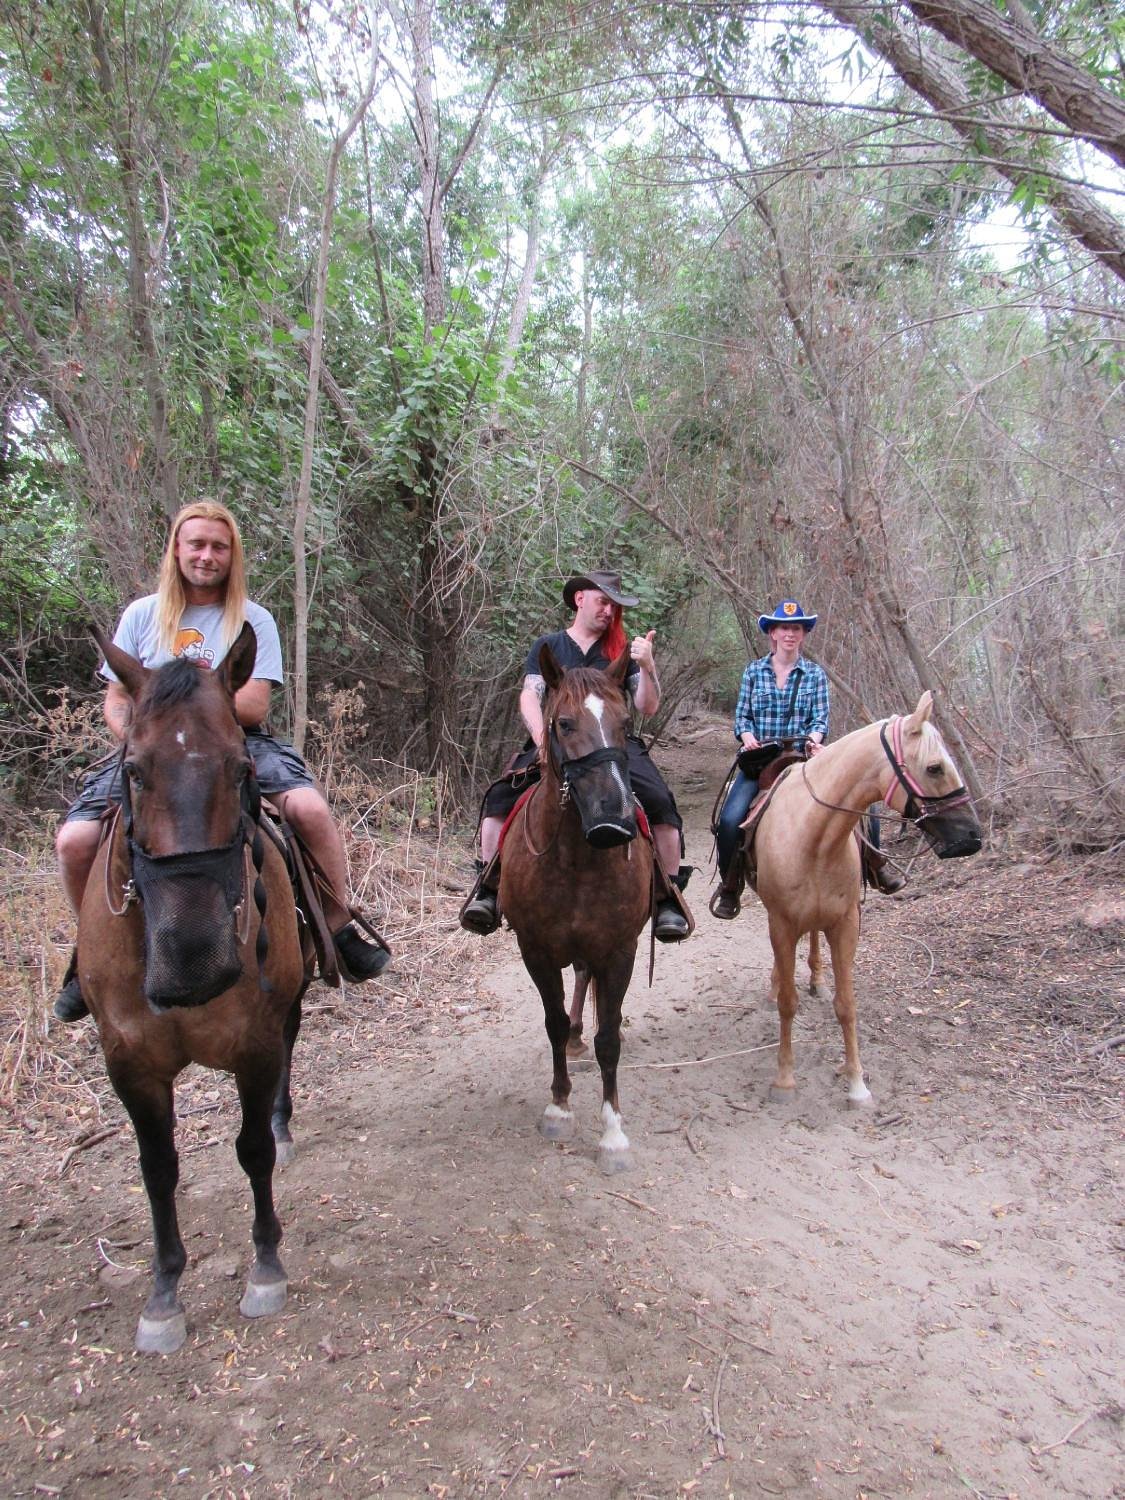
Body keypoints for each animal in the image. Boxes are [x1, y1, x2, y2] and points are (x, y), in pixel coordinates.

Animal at [77, 627, 309, 1356]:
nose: (193, 960)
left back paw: (282, 1124)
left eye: (240, 769)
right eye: (134, 770)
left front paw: (266, 1266)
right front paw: (163, 1294)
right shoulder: (129, 1060)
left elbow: (252, 1151)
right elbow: (158, 1169)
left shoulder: (255, 1044)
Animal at [501, 642, 651, 1170]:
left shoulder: (620, 951)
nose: (613, 820)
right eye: (563, 723)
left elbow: (611, 1039)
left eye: (625, 722)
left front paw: (613, 1134)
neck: (575, 860)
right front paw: (559, 1108)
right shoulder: (535, 950)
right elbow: (552, 1022)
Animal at [753, 690, 984, 1104]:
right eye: (935, 768)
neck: (814, 838)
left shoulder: (846, 922)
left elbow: (846, 1006)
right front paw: (785, 1079)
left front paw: (857, 1083)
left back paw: (816, 978)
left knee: (814, 939)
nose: (973, 836)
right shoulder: (781, 923)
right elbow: (787, 1004)